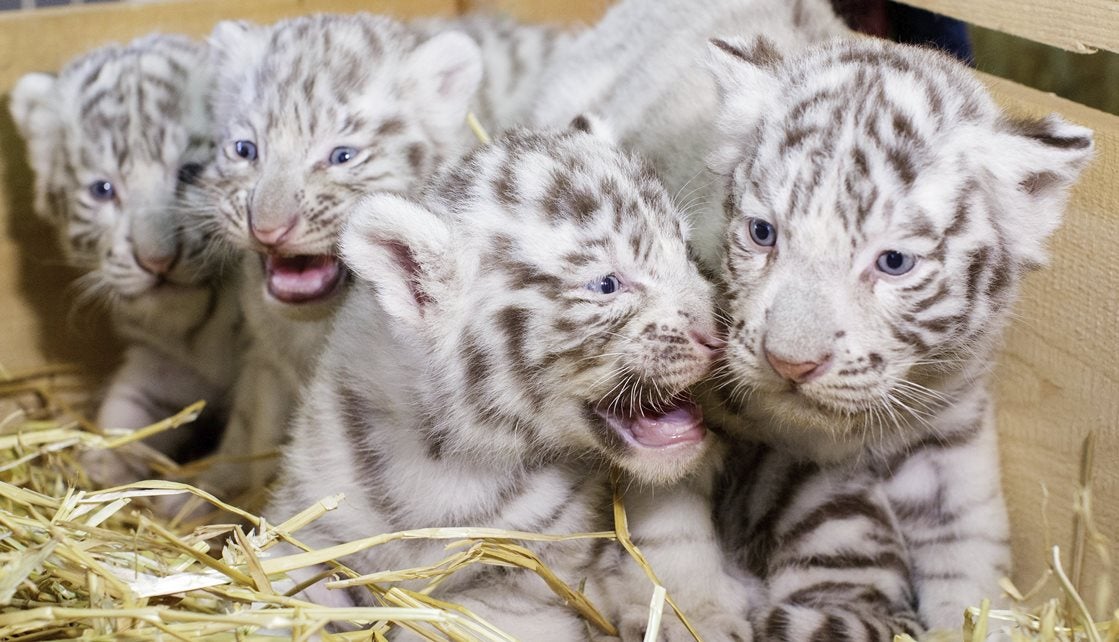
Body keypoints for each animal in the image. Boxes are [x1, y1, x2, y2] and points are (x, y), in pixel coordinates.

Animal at [8, 34, 243, 486]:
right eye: (102, 190)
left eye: (190, 172)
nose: (157, 261)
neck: (197, 328)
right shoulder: (160, 361)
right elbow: (127, 409)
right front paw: (100, 467)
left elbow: (247, 442)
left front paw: (191, 497)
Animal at [265, 120, 759, 641]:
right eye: (606, 284)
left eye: (685, 251)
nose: (721, 332)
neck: (447, 462)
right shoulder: (305, 524)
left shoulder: (524, 593)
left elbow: (456, 617)